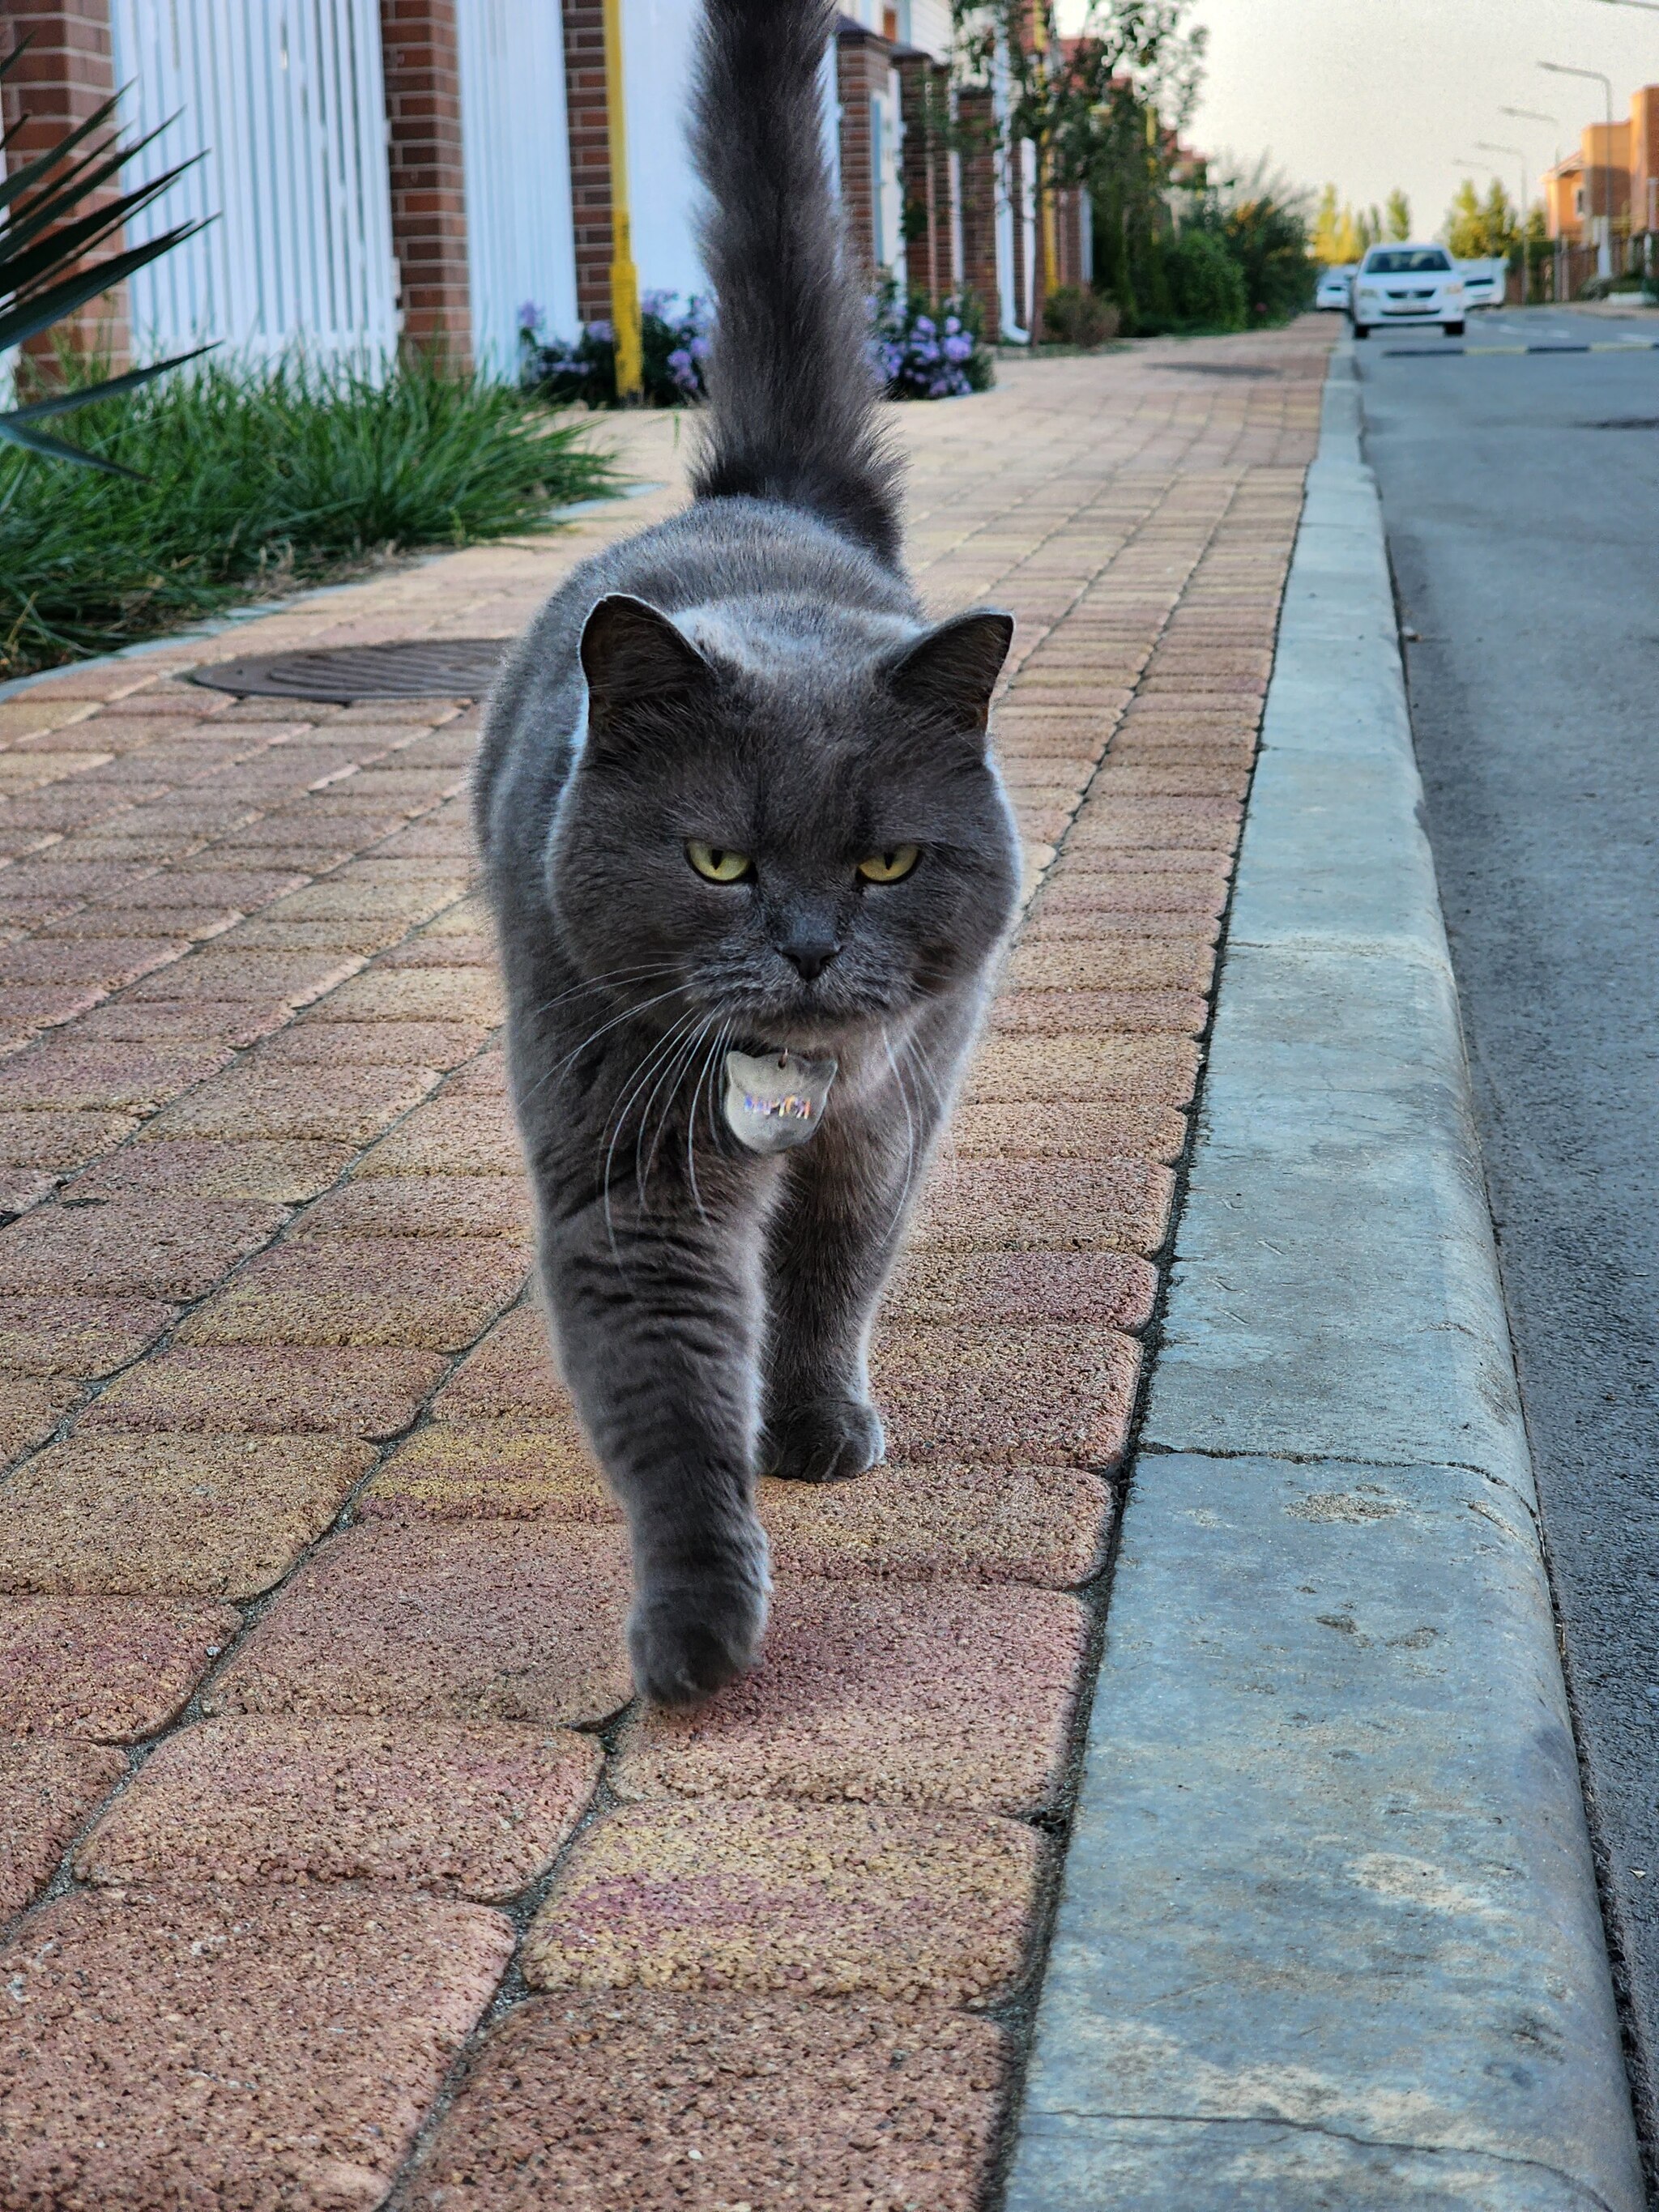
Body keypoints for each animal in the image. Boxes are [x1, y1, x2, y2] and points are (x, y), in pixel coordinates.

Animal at [468, 0, 1013, 1698]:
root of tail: (759, 494)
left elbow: (833, 1275)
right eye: (717, 865)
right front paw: (698, 1623)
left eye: (887, 865)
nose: (812, 948)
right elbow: (664, 1396)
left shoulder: (891, 1113)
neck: (785, 1085)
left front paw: (817, 1424)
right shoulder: (625, 1158)